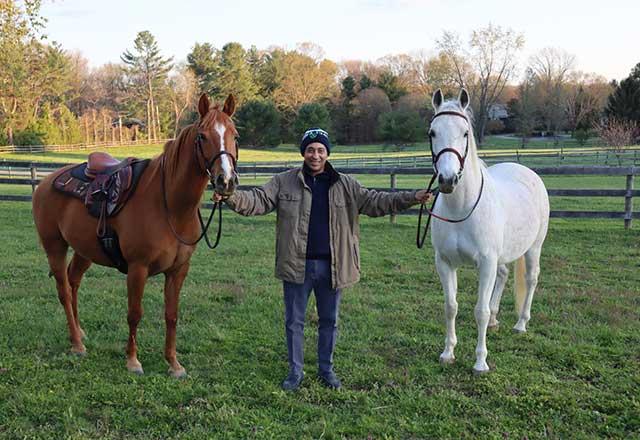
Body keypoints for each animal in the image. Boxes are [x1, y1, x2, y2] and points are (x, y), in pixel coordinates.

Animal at [31, 94, 240, 376]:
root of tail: (45, 181)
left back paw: (80, 332)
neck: (169, 206)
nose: (225, 181)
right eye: (202, 136)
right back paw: (76, 344)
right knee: (63, 289)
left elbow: (171, 315)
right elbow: (135, 313)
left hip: (84, 250)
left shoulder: (178, 270)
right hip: (55, 246)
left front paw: (174, 363)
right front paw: (132, 360)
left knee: (74, 282)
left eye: (235, 135)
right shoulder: (137, 268)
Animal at [424, 89, 552, 374]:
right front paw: (448, 353)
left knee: (531, 279)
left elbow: (479, 311)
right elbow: (451, 307)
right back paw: (495, 319)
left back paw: (521, 324)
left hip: (534, 248)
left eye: (465, 133)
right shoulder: (444, 263)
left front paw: (480, 362)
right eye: (432, 132)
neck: (461, 208)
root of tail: (527, 172)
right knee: (503, 275)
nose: (447, 180)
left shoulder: (486, 263)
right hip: (501, 257)